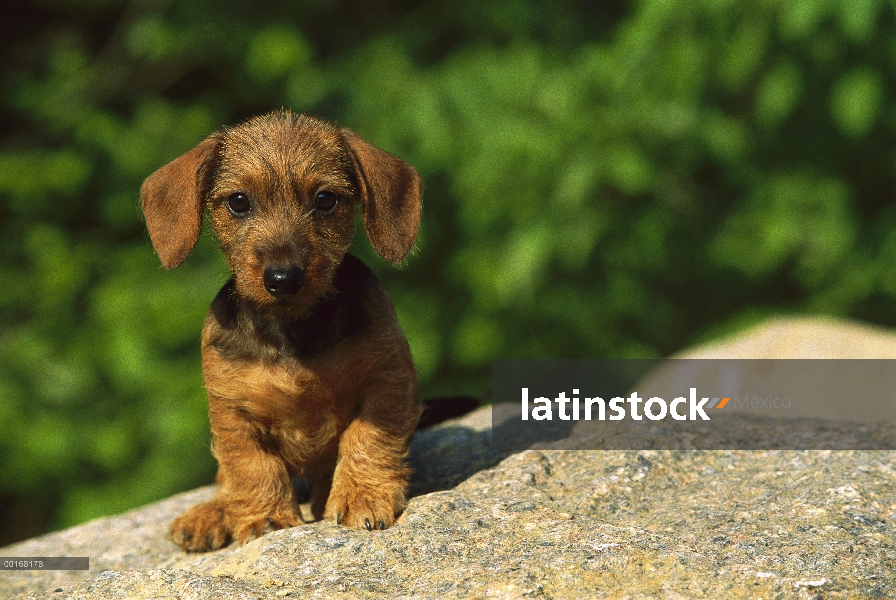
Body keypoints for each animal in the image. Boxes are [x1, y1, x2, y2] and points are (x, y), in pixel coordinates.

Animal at [140, 110, 424, 552]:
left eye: (325, 200)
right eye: (239, 201)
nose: (283, 278)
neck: (293, 331)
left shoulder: (387, 381)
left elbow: (367, 438)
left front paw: (361, 493)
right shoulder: (232, 411)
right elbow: (251, 467)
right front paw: (265, 517)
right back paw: (210, 514)